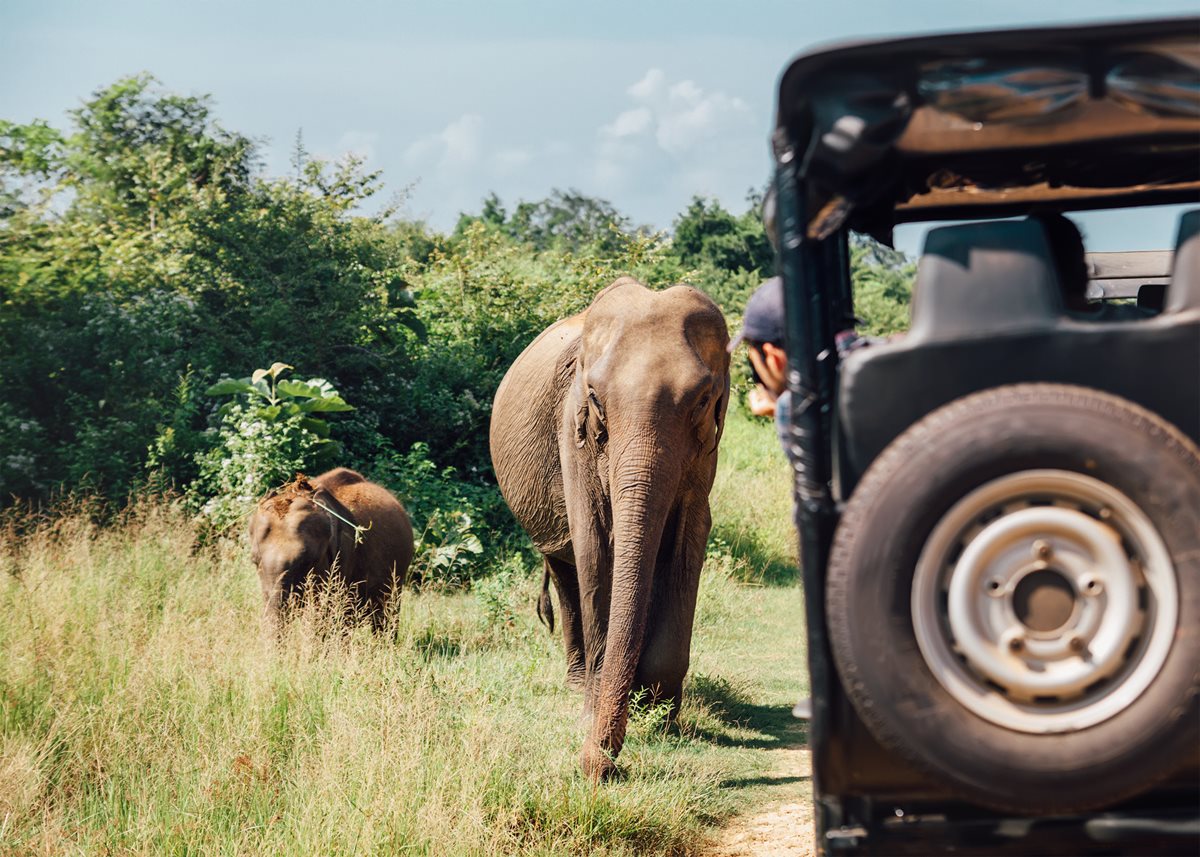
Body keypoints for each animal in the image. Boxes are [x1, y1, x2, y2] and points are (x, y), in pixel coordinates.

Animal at [489, 277, 729, 777]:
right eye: (596, 398)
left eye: (702, 400)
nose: (601, 766)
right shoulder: (573, 431)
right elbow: (594, 542)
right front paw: (596, 718)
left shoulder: (708, 448)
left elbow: (689, 536)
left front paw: (661, 717)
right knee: (565, 570)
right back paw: (579, 684)